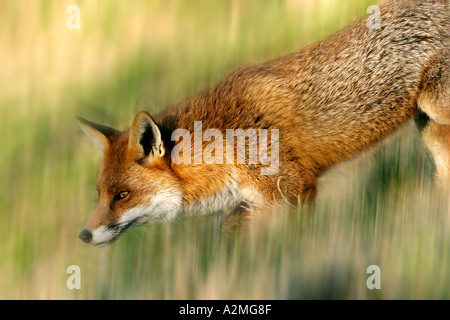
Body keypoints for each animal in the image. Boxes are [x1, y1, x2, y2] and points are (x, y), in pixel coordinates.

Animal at [79, 0, 448, 245]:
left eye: (122, 195)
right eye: (99, 194)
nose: (84, 234)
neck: (222, 146)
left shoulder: (294, 190)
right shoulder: (254, 200)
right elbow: (228, 230)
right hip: (431, 130)